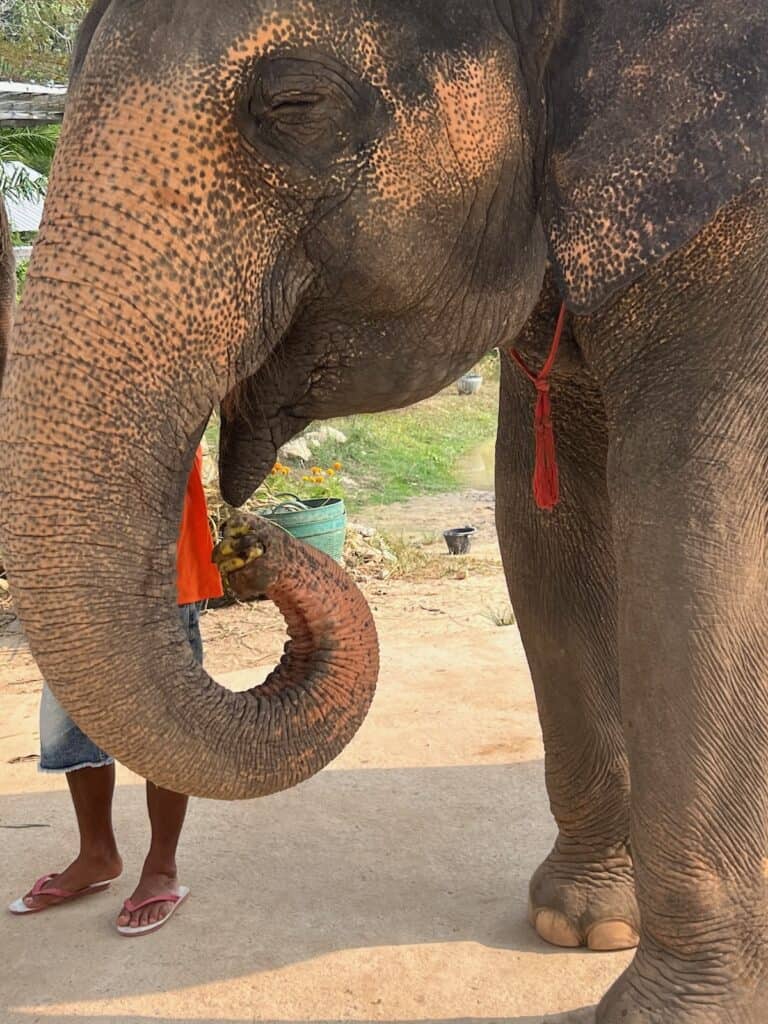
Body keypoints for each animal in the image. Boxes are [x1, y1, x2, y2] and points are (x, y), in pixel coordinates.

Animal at [0, 0, 766, 1021]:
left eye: (295, 103)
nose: (251, 538)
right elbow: (543, 523)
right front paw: (582, 925)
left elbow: (699, 524)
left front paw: (666, 1007)